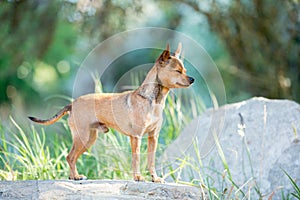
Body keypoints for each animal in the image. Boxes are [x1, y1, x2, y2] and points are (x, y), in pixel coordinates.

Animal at [28, 43, 195, 183]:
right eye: (177, 71)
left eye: (185, 71)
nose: (192, 79)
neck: (153, 100)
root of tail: (72, 104)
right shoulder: (136, 137)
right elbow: (136, 159)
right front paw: (138, 177)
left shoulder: (153, 137)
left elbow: (151, 160)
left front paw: (155, 178)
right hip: (83, 137)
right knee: (70, 157)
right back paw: (75, 176)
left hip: (89, 138)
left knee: (72, 157)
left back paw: (73, 176)